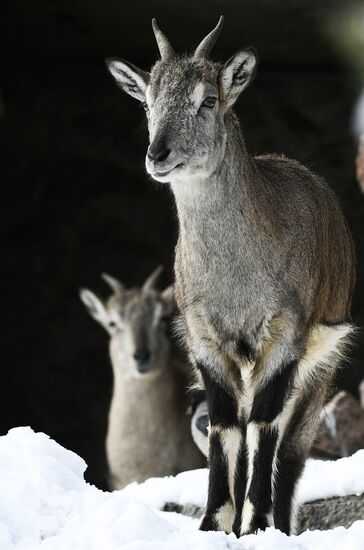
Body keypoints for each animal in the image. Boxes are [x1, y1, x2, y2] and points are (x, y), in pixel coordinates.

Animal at [105, 18, 356, 540]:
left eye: (208, 99)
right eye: (147, 102)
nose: (158, 153)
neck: (237, 281)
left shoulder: (283, 336)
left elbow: (264, 425)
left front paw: (257, 524)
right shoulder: (205, 339)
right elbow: (224, 426)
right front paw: (212, 524)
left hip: (322, 366)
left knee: (292, 450)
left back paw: (280, 522)